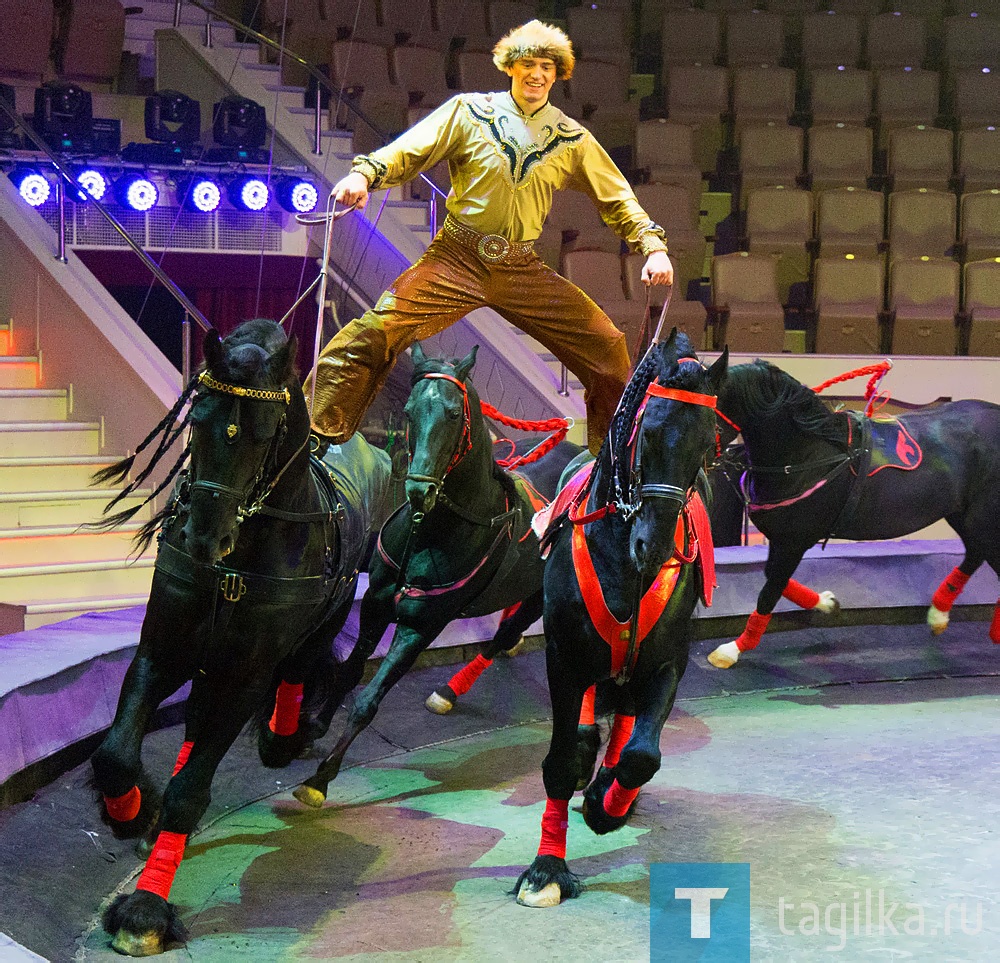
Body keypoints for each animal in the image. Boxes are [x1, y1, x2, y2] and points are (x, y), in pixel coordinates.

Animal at [89, 320, 390, 952]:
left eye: (262, 431)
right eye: (196, 420)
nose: (204, 537)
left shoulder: (245, 676)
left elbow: (191, 792)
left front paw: (144, 911)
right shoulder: (163, 650)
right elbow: (115, 755)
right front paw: (133, 811)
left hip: (324, 619)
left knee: (300, 670)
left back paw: (288, 735)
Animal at [290, 342, 584, 808]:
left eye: (451, 413)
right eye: (410, 411)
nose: (419, 490)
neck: (432, 529)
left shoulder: (421, 625)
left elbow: (369, 699)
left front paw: (320, 779)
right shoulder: (377, 601)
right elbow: (349, 674)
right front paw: (309, 730)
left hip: (546, 592)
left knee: (512, 631)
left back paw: (451, 690)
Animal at [516, 330, 728, 904]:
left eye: (707, 445)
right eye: (648, 432)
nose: (651, 548)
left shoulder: (667, 662)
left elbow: (641, 756)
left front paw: (604, 805)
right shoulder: (564, 658)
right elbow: (561, 760)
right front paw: (547, 869)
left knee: (626, 725)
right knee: (588, 726)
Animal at [708, 358, 1000, 668]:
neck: (807, 455)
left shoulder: (793, 542)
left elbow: (770, 590)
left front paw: (732, 649)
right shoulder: (783, 540)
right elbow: (773, 578)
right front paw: (826, 603)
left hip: (982, 517)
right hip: (964, 514)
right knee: (975, 553)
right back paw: (939, 615)